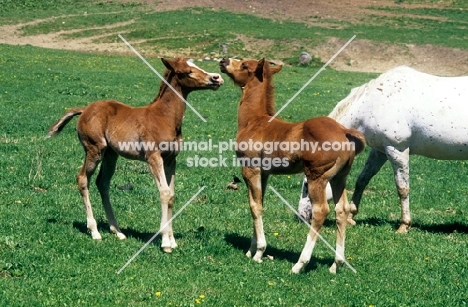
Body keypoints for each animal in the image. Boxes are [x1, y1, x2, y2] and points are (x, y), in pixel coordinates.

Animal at [47, 57, 223, 253]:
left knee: (103, 183)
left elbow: (171, 195)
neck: (164, 118)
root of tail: (84, 109)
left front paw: (173, 240)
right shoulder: (154, 158)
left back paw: (118, 231)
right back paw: (94, 231)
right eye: (186, 71)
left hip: (110, 155)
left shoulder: (171, 160)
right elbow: (164, 193)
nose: (216, 78)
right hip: (94, 149)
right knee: (83, 178)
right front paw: (165, 243)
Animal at [219, 58, 366, 274]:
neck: (254, 121)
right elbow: (259, 201)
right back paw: (336, 264)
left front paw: (259, 252)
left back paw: (299, 264)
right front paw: (250, 250)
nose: (223, 61)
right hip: (340, 178)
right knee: (341, 210)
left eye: (245, 65)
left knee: (321, 211)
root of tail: (344, 131)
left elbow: (255, 206)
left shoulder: (250, 168)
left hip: (317, 177)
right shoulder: (265, 173)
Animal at [300, 65, 468, 233]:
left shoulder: (397, 149)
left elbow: (402, 188)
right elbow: (363, 179)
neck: (374, 103)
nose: (301, 216)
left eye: (306, 185)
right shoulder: (380, 151)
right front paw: (351, 216)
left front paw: (404, 225)